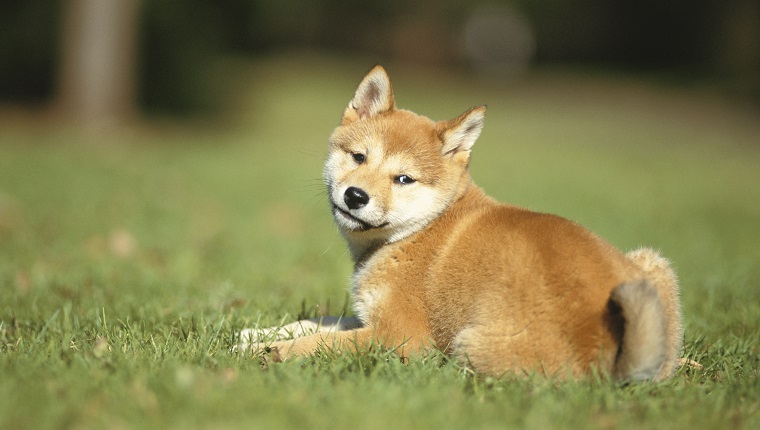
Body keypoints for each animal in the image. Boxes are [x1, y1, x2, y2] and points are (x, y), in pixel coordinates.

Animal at [243, 64, 684, 380]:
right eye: (359, 157)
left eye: (404, 179)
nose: (355, 196)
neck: (420, 229)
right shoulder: (369, 317)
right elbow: (318, 322)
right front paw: (255, 332)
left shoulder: (401, 335)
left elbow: (321, 344)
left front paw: (263, 351)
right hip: (652, 266)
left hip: (467, 344)